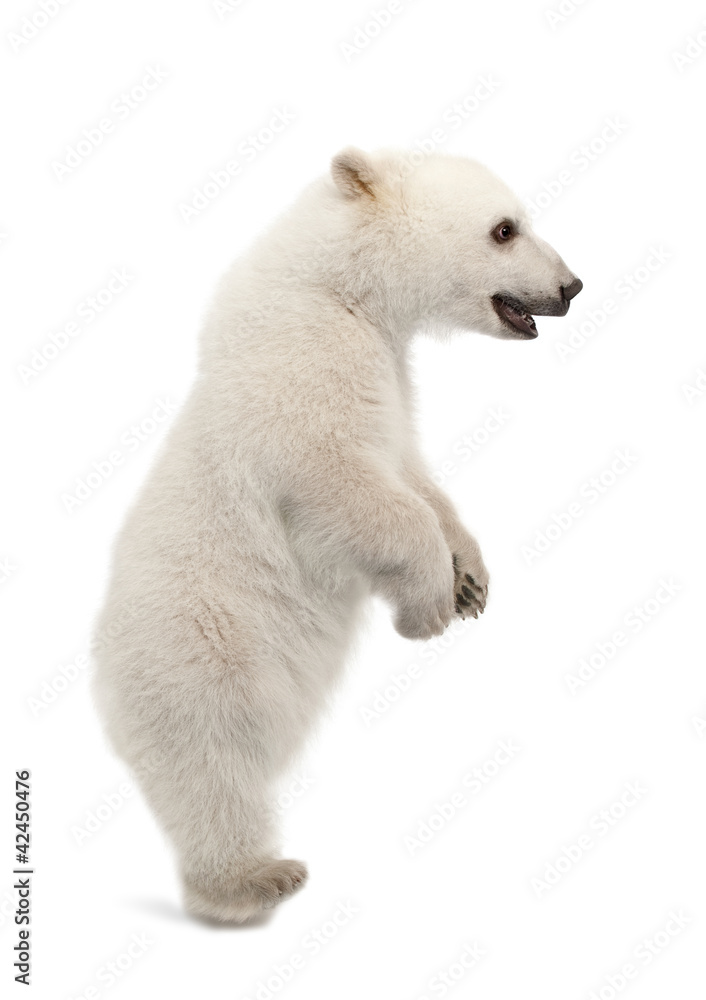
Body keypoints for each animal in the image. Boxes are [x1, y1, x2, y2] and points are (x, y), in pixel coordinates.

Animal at [91, 147, 582, 922]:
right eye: (506, 229)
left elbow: (412, 470)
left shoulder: (389, 375)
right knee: (211, 765)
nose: (571, 287)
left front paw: (470, 578)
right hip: (199, 648)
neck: (336, 283)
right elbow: (344, 483)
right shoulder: (307, 363)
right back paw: (252, 880)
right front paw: (427, 610)